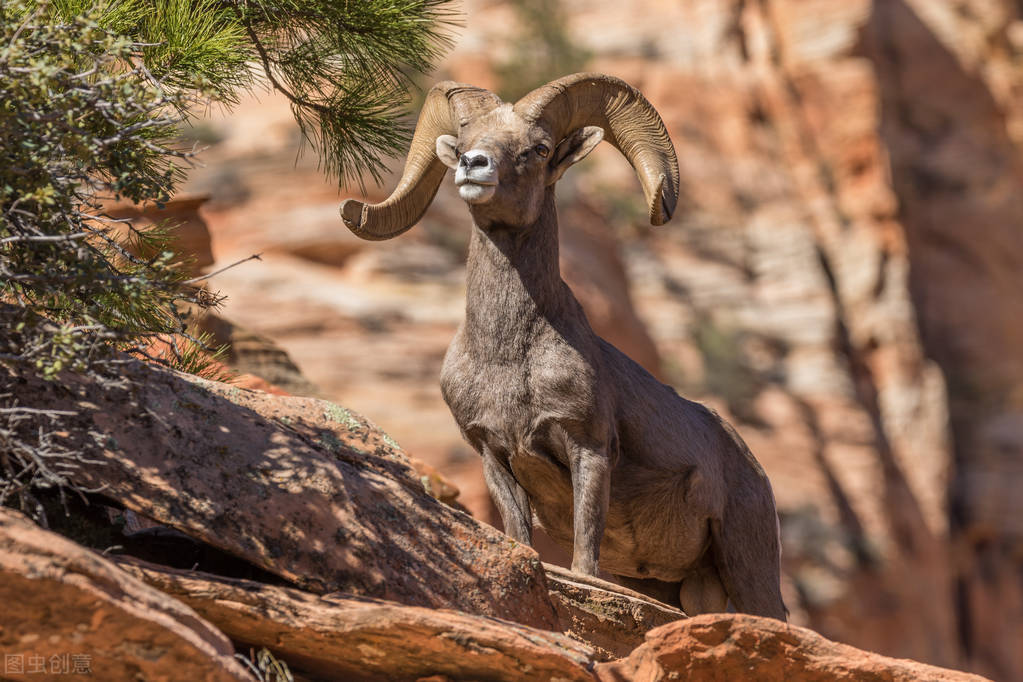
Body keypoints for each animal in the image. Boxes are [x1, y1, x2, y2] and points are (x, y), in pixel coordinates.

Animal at [341, 74, 781, 617]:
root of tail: (754, 469)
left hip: (748, 569)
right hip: (681, 586)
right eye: (462, 144)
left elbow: (584, 556)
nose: (473, 165)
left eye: (539, 148)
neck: (509, 359)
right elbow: (519, 535)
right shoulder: (494, 456)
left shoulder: (587, 449)